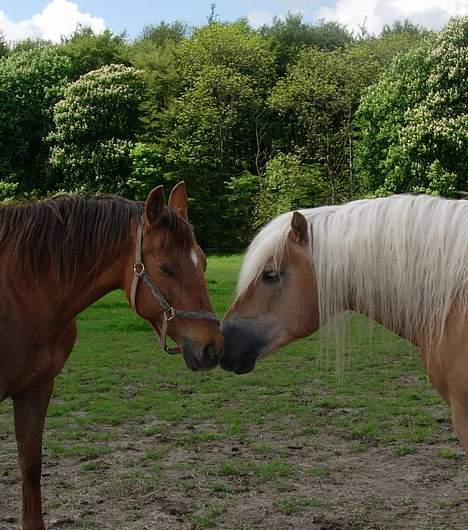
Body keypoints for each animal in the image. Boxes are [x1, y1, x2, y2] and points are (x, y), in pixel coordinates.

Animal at [0, 182, 223, 528]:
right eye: (165, 268)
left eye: (203, 262)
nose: (211, 347)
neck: (21, 292)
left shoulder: (35, 390)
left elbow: (31, 467)